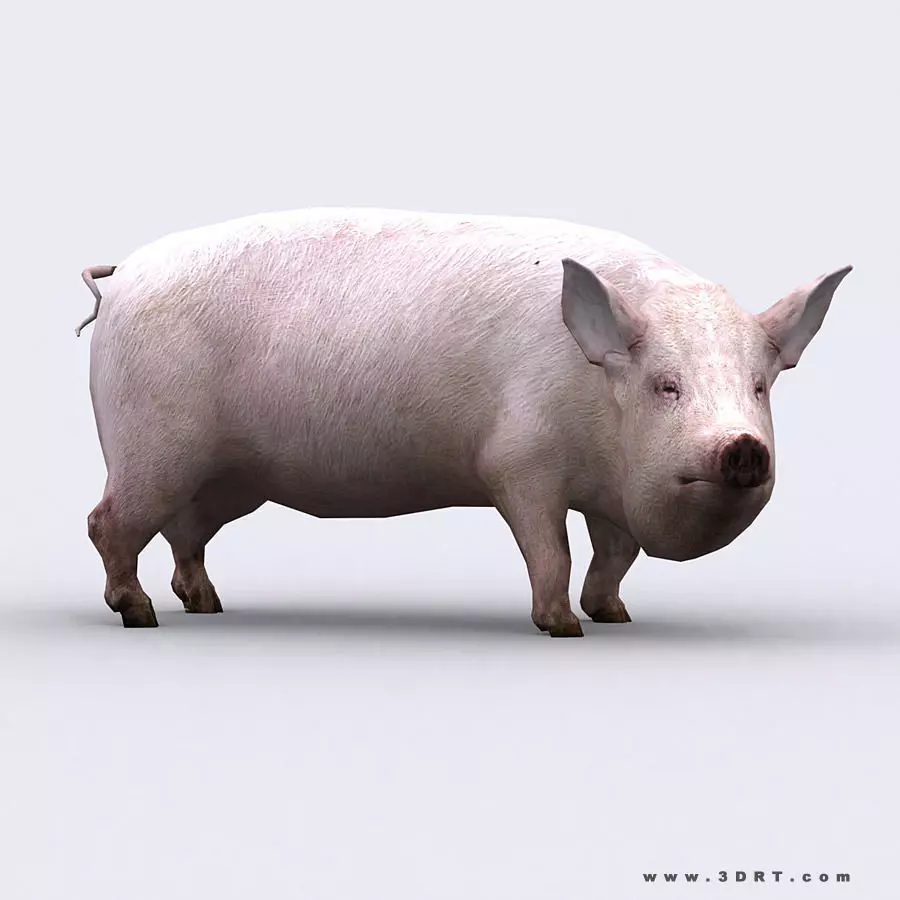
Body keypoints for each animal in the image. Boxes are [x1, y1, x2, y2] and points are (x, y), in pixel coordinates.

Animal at [77, 208, 851, 636]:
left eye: (760, 387)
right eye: (667, 386)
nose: (743, 447)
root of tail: (125, 275)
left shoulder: (611, 494)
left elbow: (615, 557)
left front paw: (614, 617)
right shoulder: (519, 461)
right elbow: (550, 549)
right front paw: (563, 629)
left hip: (224, 478)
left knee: (184, 534)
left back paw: (207, 606)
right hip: (150, 442)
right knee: (107, 521)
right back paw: (139, 614)